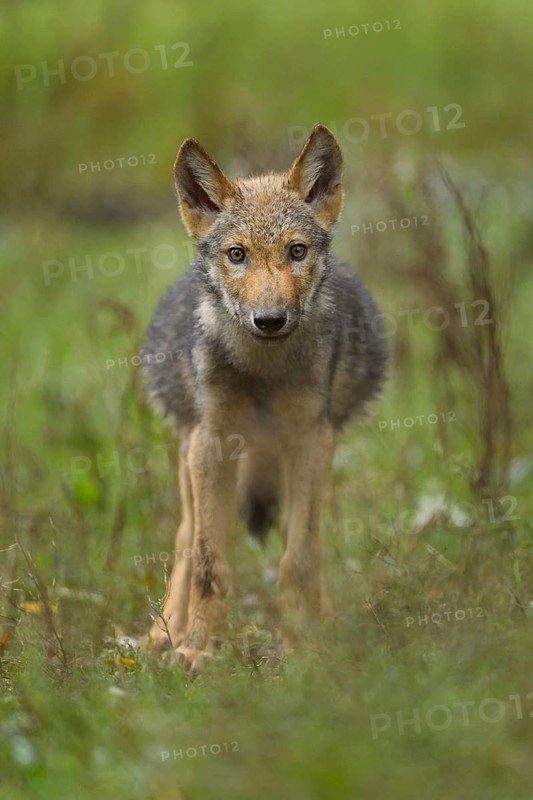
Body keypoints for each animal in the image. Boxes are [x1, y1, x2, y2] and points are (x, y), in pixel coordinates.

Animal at [141, 125, 388, 671]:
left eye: (296, 251)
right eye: (238, 255)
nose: (270, 320)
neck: (263, 374)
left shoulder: (311, 443)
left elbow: (299, 560)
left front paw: (307, 647)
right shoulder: (211, 446)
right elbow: (208, 565)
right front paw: (195, 649)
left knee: (307, 543)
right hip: (191, 456)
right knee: (185, 539)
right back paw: (161, 635)